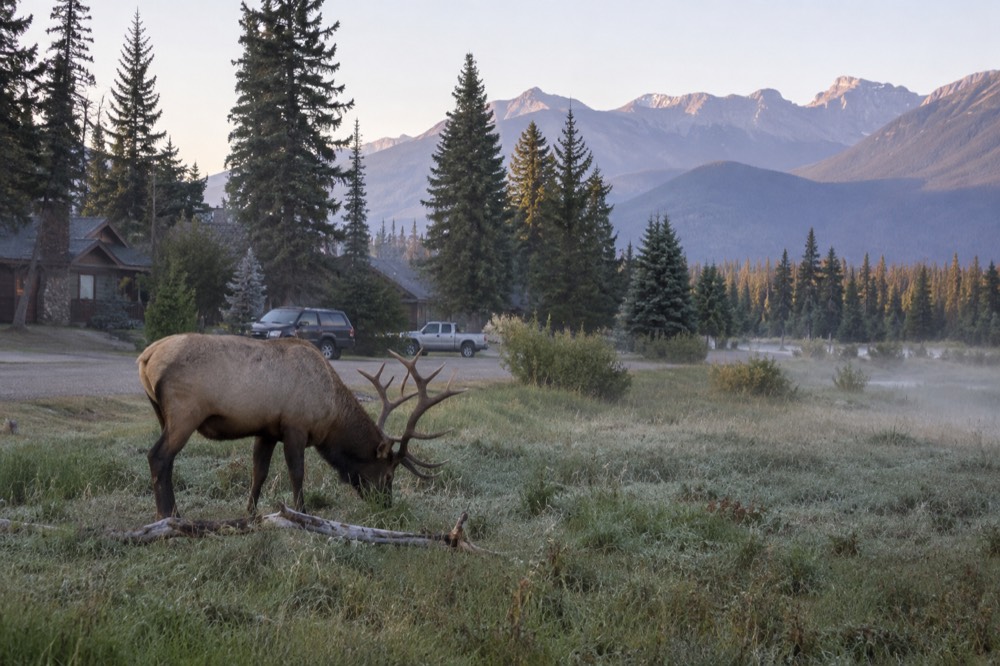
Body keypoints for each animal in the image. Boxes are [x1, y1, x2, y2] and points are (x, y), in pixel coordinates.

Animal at [136, 333, 463, 520]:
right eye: (388, 475)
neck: (330, 415)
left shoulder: (267, 430)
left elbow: (259, 473)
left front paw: (250, 513)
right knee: (158, 456)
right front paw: (302, 513)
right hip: (185, 412)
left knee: (165, 460)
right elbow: (297, 473)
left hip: (162, 414)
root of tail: (145, 357)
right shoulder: (296, 426)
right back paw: (169, 514)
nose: (386, 505)